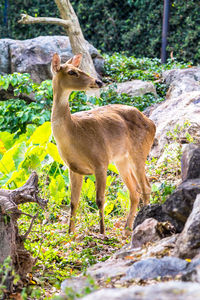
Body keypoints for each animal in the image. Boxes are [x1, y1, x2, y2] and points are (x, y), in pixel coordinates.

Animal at [50, 54, 155, 236]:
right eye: (72, 72)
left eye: (79, 68)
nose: (98, 81)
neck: (74, 133)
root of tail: (152, 123)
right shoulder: (73, 168)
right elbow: (73, 201)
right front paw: (70, 233)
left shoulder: (100, 161)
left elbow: (100, 199)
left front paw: (102, 232)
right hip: (121, 160)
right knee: (134, 191)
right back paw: (127, 228)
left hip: (140, 151)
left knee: (146, 187)